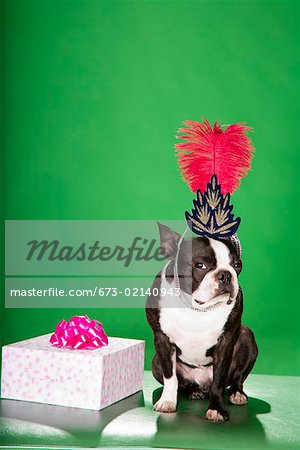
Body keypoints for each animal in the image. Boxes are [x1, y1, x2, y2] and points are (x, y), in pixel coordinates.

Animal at [146, 223, 258, 424]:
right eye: (200, 265)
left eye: (237, 265)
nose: (225, 275)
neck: (196, 308)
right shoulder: (161, 339)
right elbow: (170, 377)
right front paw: (167, 401)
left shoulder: (225, 342)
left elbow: (219, 379)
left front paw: (217, 409)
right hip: (155, 362)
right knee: (183, 383)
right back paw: (194, 391)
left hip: (247, 337)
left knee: (237, 379)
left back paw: (237, 393)